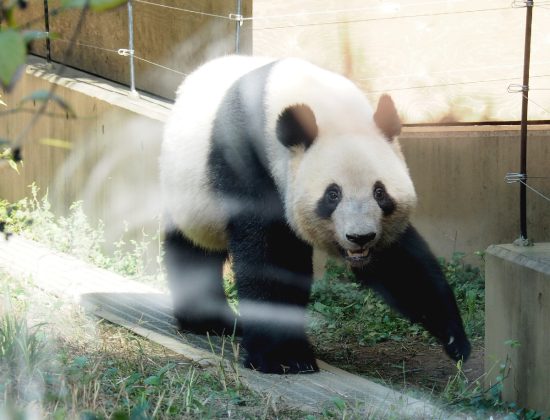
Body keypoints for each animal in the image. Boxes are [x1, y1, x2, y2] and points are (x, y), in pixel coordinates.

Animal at [161, 55, 474, 374]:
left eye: (380, 192)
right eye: (332, 195)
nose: (360, 237)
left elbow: (399, 261)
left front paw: (454, 338)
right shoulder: (248, 159)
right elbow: (272, 255)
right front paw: (282, 357)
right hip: (190, 194)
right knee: (193, 250)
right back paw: (208, 322)